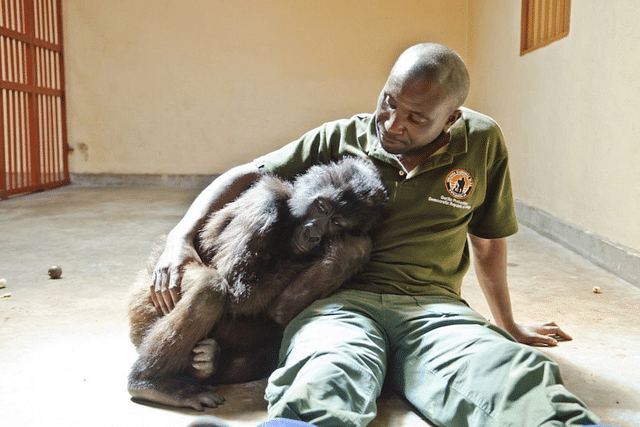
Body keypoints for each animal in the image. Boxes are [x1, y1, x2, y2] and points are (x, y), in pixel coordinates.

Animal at [125, 157, 384, 412]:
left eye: (337, 222)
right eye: (322, 208)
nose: (314, 235)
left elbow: (280, 310)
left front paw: (346, 254)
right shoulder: (266, 205)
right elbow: (237, 289)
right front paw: (350, 249)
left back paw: (210, 362)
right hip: (147, 305)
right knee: (210, 288)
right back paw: (151, 383)